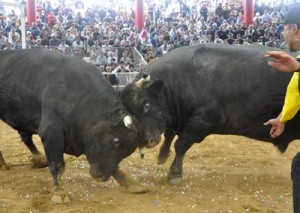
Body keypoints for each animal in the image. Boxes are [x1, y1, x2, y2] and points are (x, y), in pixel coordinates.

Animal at [0, 49, 148, 204]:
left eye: (127, 152)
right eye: (116, 143)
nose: (100, 176)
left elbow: (114, 166)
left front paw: (130, 184)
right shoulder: (52, 133)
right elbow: (57, 165)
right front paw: (59, 193)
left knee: (26, 137)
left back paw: (38, 159)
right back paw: (4, 164)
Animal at [121, 44, 300, 184]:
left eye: (146, 105)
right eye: (129, 112)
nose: (148, 140)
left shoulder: (199, 123)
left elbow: (180, 145)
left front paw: (175, 173)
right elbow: (169, 135)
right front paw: (163, 155)